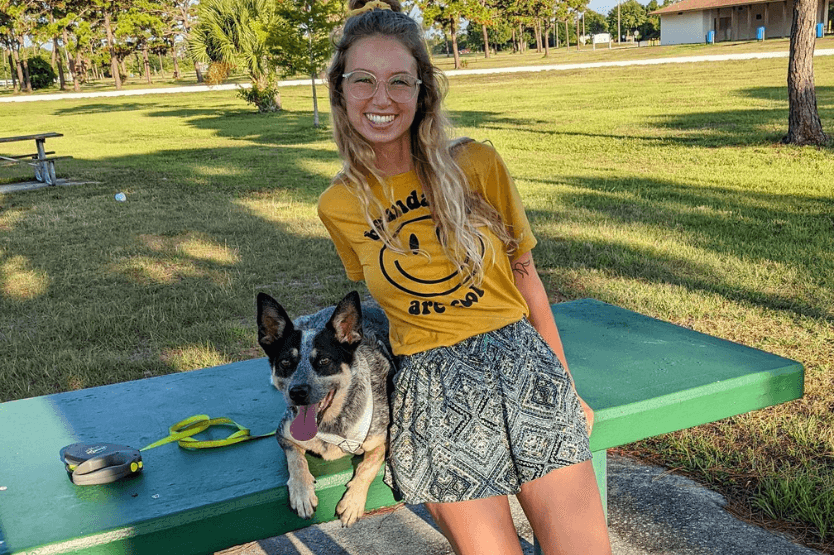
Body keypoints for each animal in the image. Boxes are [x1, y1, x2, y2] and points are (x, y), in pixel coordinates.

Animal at [255, 294, 394, 528]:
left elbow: (368, 466)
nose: (297, 392)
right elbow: (296, 460)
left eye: (324, 360)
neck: (330, 425)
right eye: (285, 362)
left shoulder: (382, 440)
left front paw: (353, 502)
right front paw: (302, 493)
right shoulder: (284, 434)